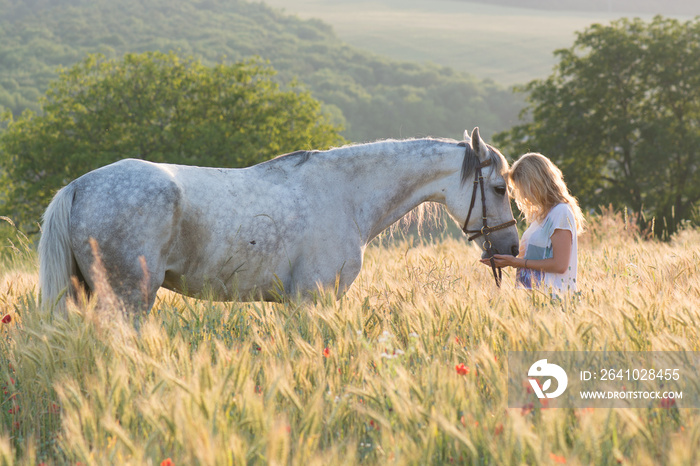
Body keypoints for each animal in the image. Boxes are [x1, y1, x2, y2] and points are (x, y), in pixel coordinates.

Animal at [39, 126, 520, 314]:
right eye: (500, 188)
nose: (512, 248)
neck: (346, 194)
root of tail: (79, 185)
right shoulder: (314, 300)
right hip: (129, 299)